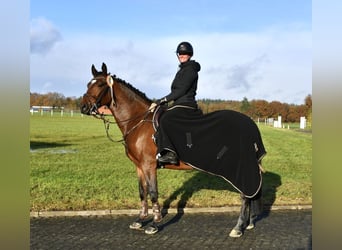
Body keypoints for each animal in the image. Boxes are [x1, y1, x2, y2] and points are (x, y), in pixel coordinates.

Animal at [81, 62, 264, 236]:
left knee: (245, 196)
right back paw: (248, 224)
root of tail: (250, 123)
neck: (138, 122)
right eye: (88, 84)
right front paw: (140, 220)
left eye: (100, 84)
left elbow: (153, 192)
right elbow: (142, 192)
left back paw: (238, 227)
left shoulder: (149, 165)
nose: (83, 108)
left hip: (241, 168)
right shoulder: (139, 166)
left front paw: (155, 224)